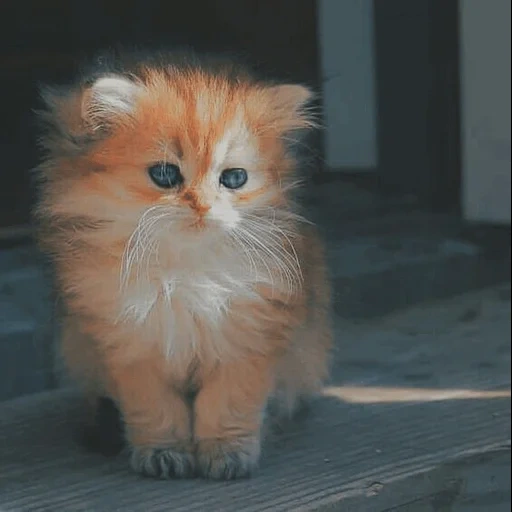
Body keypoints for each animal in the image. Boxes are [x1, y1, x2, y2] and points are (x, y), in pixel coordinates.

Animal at [36, 49, 332, 480]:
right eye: (164, 174)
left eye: (234, 178)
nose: (203, 205)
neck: (184, 272)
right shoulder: (130, 345)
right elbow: (156, 410)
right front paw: (163, 453)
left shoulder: (248, 339)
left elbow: (227, 403)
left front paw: (226, 454)